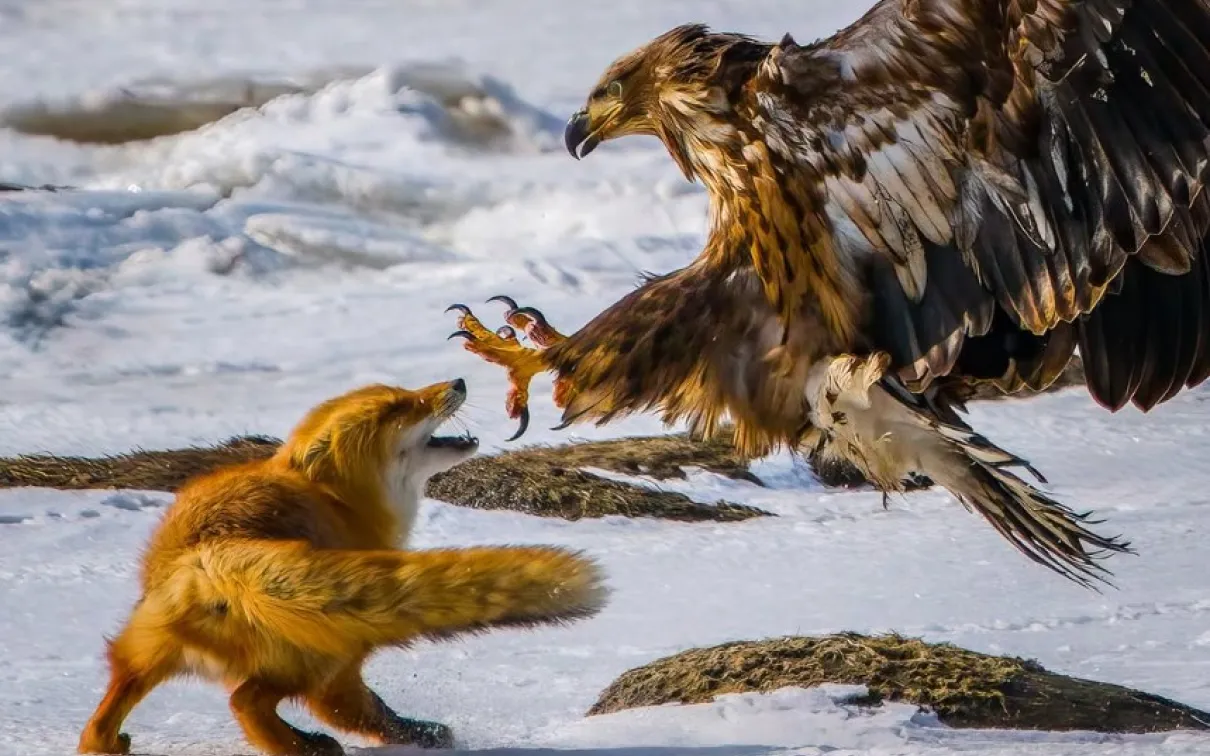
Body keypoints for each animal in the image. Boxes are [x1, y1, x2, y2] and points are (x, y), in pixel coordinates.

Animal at [77, 377, 608, 756]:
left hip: (147, 650)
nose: (457, 381)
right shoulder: (346, 659)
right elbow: (362, 710)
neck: (341, 501)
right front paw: (417, 733)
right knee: (256, 702)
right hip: (326, 651)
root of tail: (212, 551)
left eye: (404, 392)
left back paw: (110, 743)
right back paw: (315, 746)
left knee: (104, 715)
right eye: (398, 409)